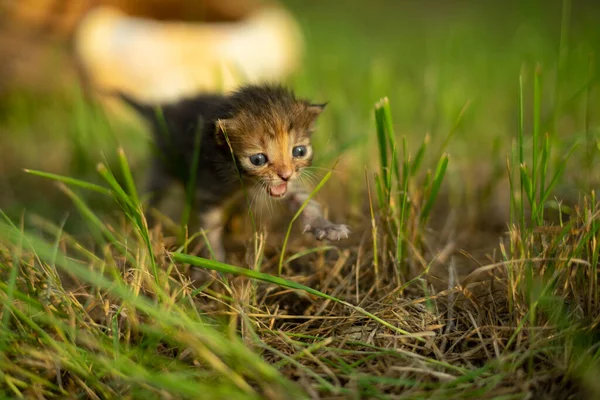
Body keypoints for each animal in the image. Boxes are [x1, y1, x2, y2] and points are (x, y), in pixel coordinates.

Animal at [119, 83, 350, 260]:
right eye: (258, 160)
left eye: (299, 151)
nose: (285, 174)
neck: (245, 182)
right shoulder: (208, 190)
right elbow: (210, 229)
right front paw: (216, 265)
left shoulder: (288, 188)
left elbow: (305, 204)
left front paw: (327, 227)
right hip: (161, 165)